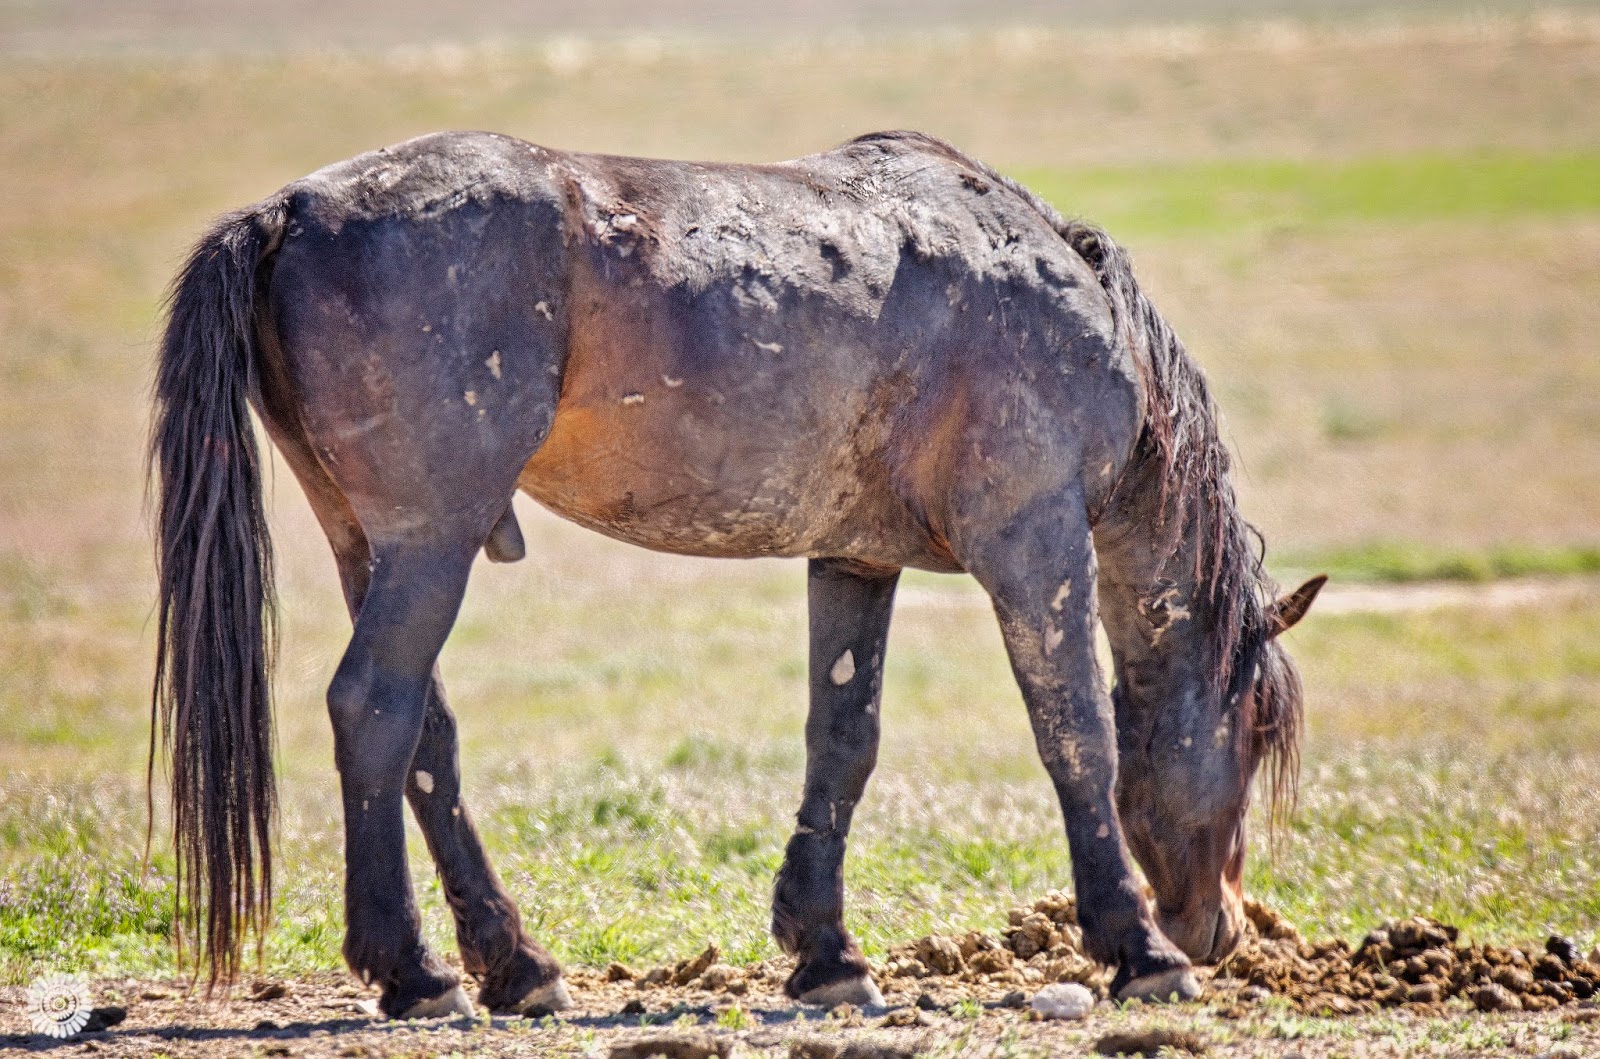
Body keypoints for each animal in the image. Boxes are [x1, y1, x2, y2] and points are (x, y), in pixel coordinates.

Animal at [149, 128, 1324, 1019]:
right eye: (1253, 737)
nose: (1219, 929)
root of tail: (294, 208)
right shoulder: (1033, 544)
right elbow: (1076, 732)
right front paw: (1135, 947)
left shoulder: (853, 558)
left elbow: (843, 740)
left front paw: (827, 954)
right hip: (431, 542)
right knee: (376, 709)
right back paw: (414, 972)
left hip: (372, 543)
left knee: (424, 735)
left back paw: (516, 968)